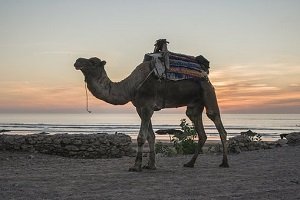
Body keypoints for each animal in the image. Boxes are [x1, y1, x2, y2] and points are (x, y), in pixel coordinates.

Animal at [74, 52, 229, 172]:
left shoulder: (147, 106)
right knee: (200, 130)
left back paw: (224, 163)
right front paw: (151, 165)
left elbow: (141, 137)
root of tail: (206, 76)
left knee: (217, 122)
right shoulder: (140, 108)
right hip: (195, 105)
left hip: (208, 93)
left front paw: (136, 166)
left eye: (93, 62)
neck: (131, 86)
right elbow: (151, 136)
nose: (77, 61)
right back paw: (190, 163)